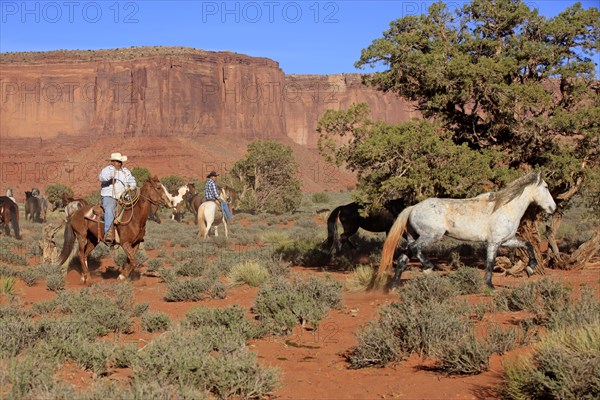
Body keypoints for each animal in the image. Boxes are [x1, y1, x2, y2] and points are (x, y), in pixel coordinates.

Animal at [376, 170, 556, 290]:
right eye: (546, 187)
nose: (552, 208)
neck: (505, 207)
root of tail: (413, 208)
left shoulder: (507, 240)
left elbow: (528, 245)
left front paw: (531, 268)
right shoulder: (494, 242)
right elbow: (490, 262)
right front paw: (490, 285)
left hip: (414, 236)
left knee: (403, 258)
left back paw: (393, 287)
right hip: (431, 236)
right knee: (414, 249)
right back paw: (428, 267)